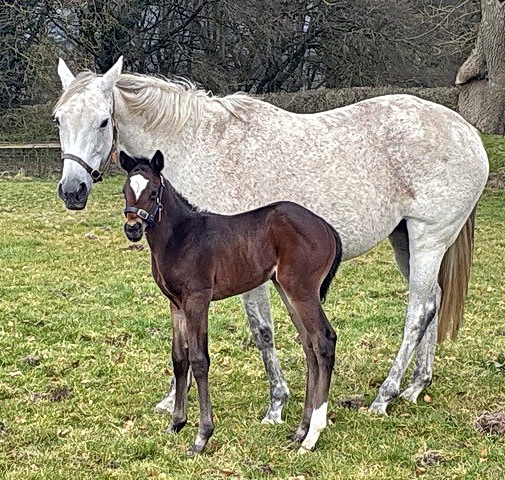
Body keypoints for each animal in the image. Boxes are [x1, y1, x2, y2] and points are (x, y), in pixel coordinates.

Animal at [121, 150, 342, 454]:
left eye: (153, 192)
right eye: (125, 191)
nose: (132, 228)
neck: (180, 236)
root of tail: (325, 226)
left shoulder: (197, 299)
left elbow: (199, 360)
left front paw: (201, 437)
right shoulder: (176, 304)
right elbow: (178, 358)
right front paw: (176, 424)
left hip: (302, 290)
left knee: (324, 340)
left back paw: (311, 437)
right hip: (287, 290)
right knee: (310, 346)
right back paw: (300, 431)